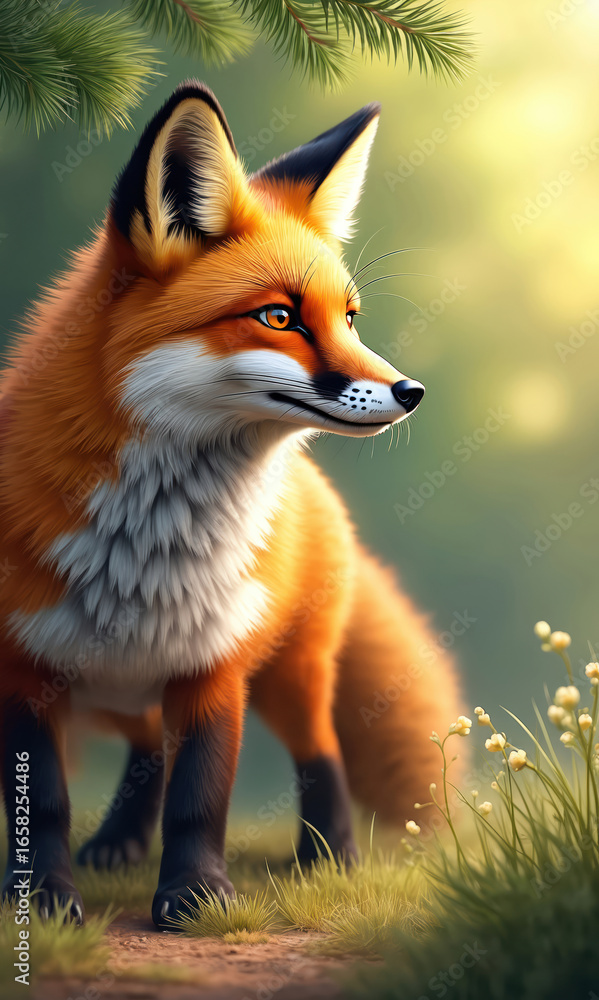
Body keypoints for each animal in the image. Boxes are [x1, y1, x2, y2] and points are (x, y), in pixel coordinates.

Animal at [0, 81, 462, 929]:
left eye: (348, 317)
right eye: (279, 317)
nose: (410, 392)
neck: (145, 545)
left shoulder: (215, 662)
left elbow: (201, 795)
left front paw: (193, 898)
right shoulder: (22, 666)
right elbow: (41, 799)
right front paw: (43, 902)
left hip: (291, 669)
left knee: (318, 752)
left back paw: (330, 860)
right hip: (120, 687)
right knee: (148, 748)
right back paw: (117, 842)